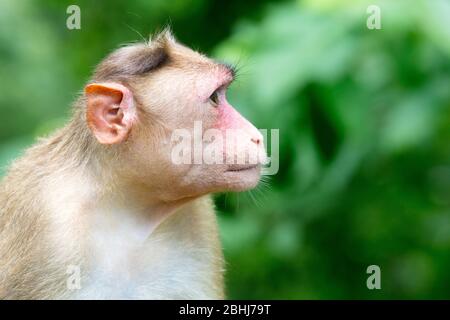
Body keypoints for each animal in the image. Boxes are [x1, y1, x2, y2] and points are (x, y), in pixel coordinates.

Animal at [0, 30, 266, 300]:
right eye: (214, 98)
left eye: (222, 94)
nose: (257, 136)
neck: (126, 206)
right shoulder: (45, 226)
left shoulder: (199, 219)